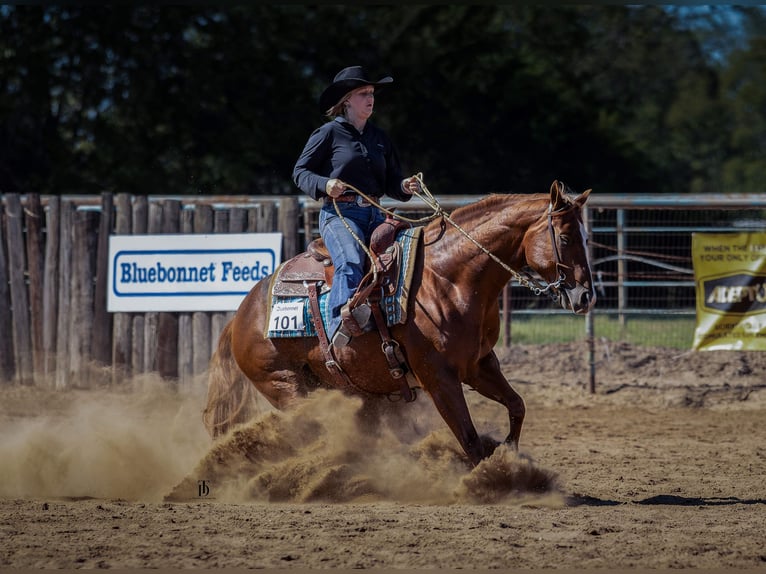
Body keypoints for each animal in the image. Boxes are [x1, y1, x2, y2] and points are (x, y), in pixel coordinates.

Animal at [203, 180, 595, 467]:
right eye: (564, 237)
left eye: (586, 236)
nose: (586, 297)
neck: (450, 276)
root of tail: (242, 314)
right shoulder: (438, 376)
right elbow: (469, 439)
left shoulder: (479, 364)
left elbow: (517, 406)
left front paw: (508, 453)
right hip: (283, 384)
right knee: (314, 431)